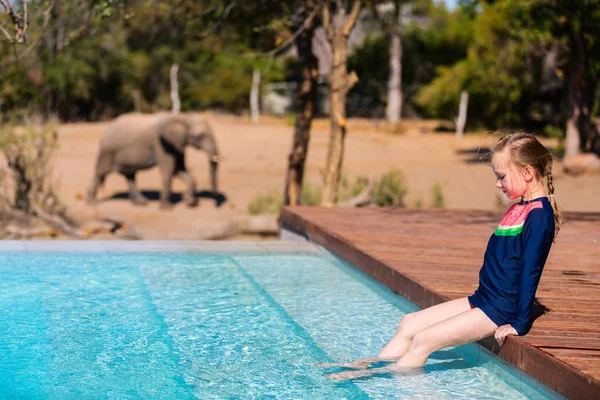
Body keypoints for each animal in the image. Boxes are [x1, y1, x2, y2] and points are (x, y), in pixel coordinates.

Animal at [86, 111, 220, 208]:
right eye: (200, 136)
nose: (214, 206)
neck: (181, 116)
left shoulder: (177, 144)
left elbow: (179, 170)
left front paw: (189, 202)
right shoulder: (161, 145)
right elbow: (169, 171)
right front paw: (167, 208)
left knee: (130, 176)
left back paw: (141, 204)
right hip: (107, 151)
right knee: (100, 173)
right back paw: (92, 203)